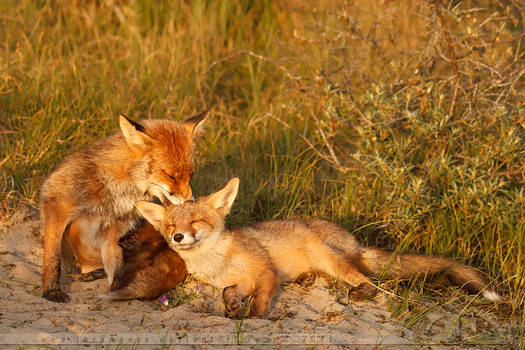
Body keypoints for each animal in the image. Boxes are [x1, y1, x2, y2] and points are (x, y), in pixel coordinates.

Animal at [40, 110, 207, 302]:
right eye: (170, 176)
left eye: (191, 175)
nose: (190, 202)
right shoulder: (57, 207)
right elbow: (53, 258)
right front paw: (51, 289)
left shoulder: (114, 231)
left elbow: (116, 270)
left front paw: (117, 290)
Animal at [133, 178, 498, 318]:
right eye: (171, 226)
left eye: (195, 221)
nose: (178, 238)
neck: (216, 262)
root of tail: (352, 240)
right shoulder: (241, 279)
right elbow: (227, 292)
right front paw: (233, 307)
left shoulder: (263, 270)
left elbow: (261, 299)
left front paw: (254, 317)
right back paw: (305, 280)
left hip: (329, 256)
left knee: (372, 284)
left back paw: (358, 292)